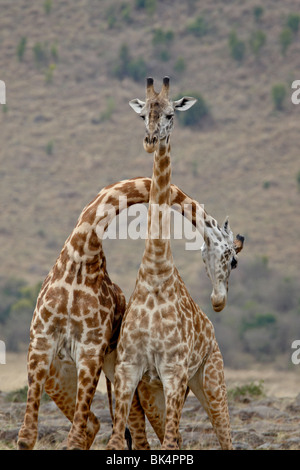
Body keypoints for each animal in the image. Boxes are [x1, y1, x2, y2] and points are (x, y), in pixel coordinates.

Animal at [17, 171, 244, 450]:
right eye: (233, 260)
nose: (218, 300)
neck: (82, 257)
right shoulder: (41, 341)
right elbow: (27, 436)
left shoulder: (90, 351)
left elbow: (73, 436)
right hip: (59, 375)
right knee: (96, 424)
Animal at [106, 78, 243, 452]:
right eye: (142, 115)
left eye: (170, 114)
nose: (151, 140)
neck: (156, 273)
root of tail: (211, 328)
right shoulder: (129, 371)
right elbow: (117, 440)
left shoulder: (174, 372)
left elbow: (168, 443)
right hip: (155, 392)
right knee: (179, 438)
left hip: (209, 378)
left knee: (225, 437)